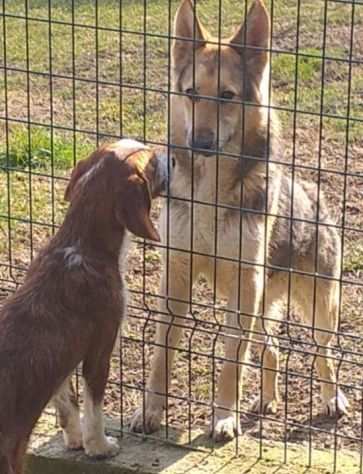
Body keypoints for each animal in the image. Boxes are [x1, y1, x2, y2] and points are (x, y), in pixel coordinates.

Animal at [0, 139, 168, 472]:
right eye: (153, 161)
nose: (174, 156)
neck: (81, 244)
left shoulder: (62, 361)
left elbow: (67, 404)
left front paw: (75, 441)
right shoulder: (99, 351)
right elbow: (94, 408)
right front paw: (99, 447)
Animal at [132, 0, 350, 444]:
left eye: (227, 96)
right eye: (191, 94)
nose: (199, 143)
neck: (210, 191)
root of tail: (314, 192)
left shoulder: (243, 286)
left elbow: (232, 354)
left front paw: (223, 418)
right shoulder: (175, 277)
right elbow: (163, 351)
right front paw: (151, 411)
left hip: (316, 306)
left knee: (323, 352)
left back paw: (332, 399)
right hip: (262, 304)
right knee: (271, 348)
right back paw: (267, 400)